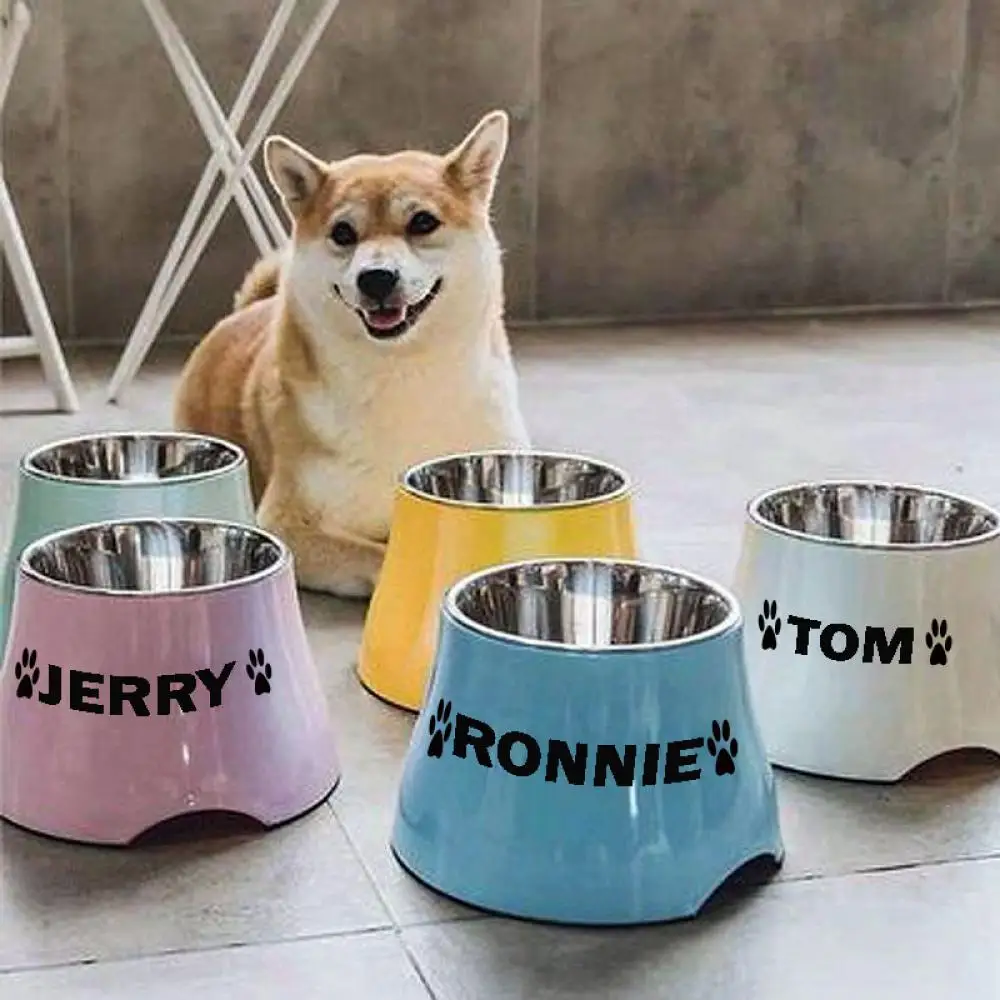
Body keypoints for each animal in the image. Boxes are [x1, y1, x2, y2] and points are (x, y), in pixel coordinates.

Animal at [173, 110, 531, 598]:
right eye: (343, 233)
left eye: (422, 222)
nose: (376, 277)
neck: (404, 379)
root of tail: (244, 311)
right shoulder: (289, 524)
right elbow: (384, 558)